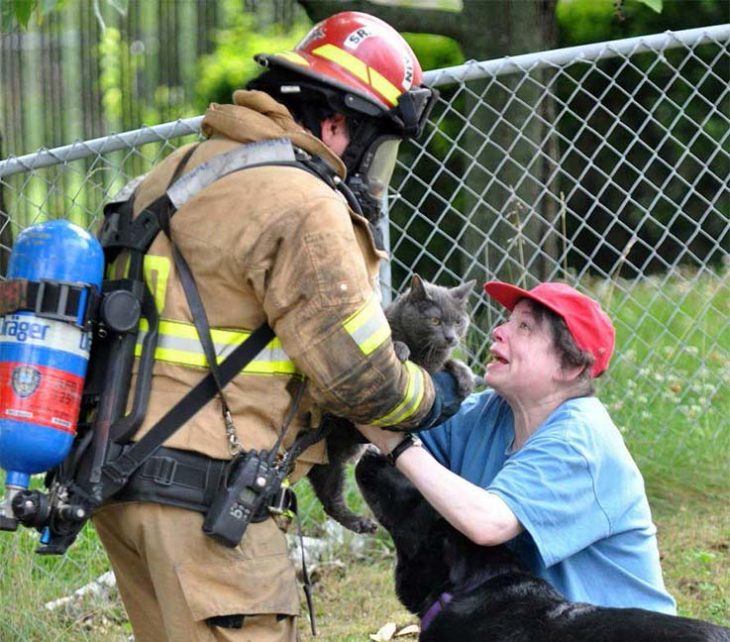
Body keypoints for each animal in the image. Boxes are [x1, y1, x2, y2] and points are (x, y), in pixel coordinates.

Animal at [304, 274, 474, 528]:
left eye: (458, 321)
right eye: (434, 321)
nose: (451, 337)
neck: (422, 350)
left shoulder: (432, 370)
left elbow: (448, 364)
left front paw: (465, 377)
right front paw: (400, 348)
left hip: (330, 460)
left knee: (328, 492)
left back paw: (359, 523)